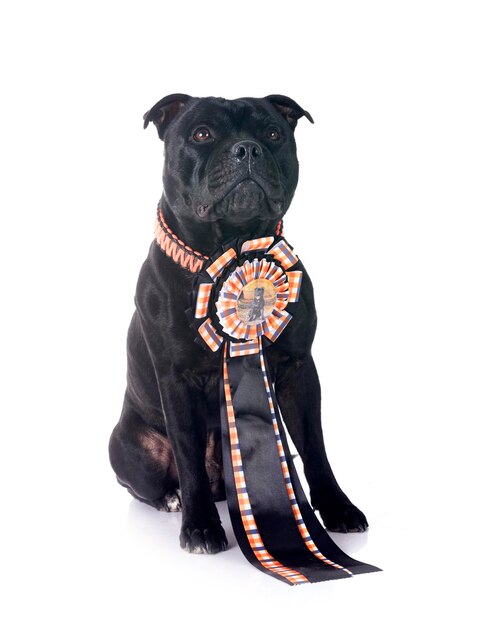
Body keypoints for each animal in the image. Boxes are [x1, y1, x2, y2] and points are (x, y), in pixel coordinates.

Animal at [107, 92, 366, 552]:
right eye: (201, 134)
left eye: (274, 133)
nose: (247, 149)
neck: (230, 245)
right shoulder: (177, 380)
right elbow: (189, 457)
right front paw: (200, 528)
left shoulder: (299, 370)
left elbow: (315, 446)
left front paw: (337, 508)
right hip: (126, 447)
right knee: (150, 483)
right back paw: (173, 499)